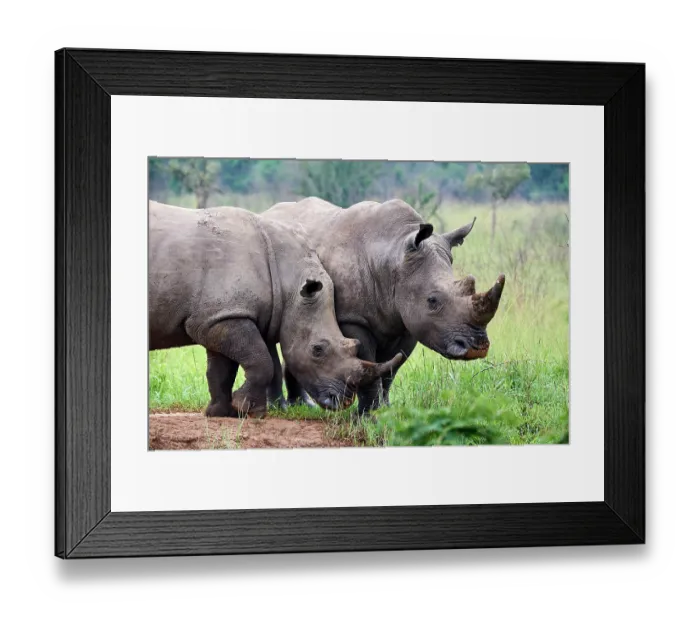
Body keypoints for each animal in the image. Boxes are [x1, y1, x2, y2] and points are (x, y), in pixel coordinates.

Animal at [148, 201, 402, 417]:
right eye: (317, 350)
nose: (342, 401)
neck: (287, 277)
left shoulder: (219, 315)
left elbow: (221, 369)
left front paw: (221, 413)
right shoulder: (220, 317)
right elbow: (260, 360)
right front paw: (249, 410)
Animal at [262, 197, 505, 414]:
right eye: (432, 301)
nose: (477, 347)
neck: (393, 257)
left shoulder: (408, 321)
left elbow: (391, 368)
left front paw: (386, 410)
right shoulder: (352, 318)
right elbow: (367, 363)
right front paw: (368, 416)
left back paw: (304, 405)